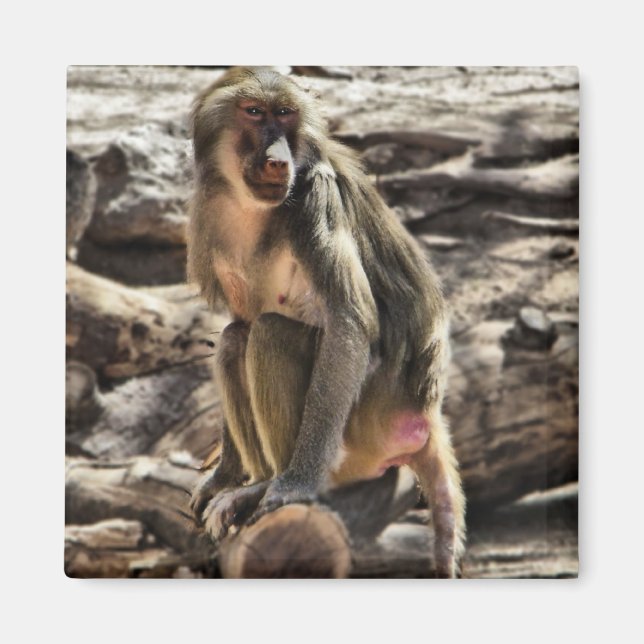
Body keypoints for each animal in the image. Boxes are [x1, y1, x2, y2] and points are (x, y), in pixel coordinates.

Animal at [187, 67, 465, 577]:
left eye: (284, 113)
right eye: (254, 112)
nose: (278, 160)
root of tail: (425, 410)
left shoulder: (316, 194)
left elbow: (349, 323)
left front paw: (293, 485)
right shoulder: (210, 213)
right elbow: (240, 318)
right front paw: (224, 475)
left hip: (365, 427)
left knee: (270, 334)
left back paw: (272, 484)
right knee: (239, 338)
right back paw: (252, 481)